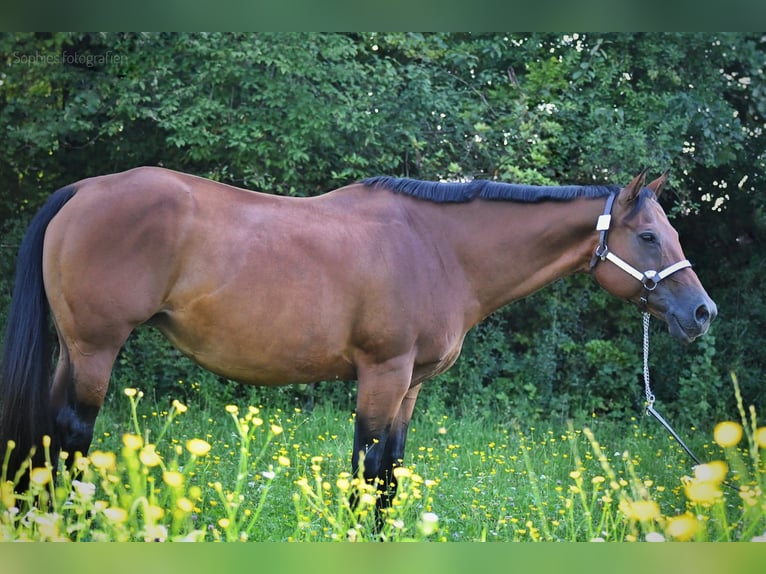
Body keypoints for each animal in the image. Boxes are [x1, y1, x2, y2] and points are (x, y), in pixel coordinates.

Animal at [0, 167, 716, 508]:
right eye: (647, 236)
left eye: (673, 232)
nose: (702, 312)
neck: (437, 247)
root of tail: (82, 191)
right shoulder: (382, 373)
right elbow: (365, 471)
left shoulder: (410, 387)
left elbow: (391, 474)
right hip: (96, 350)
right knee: (70, 438)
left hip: (74, 352)